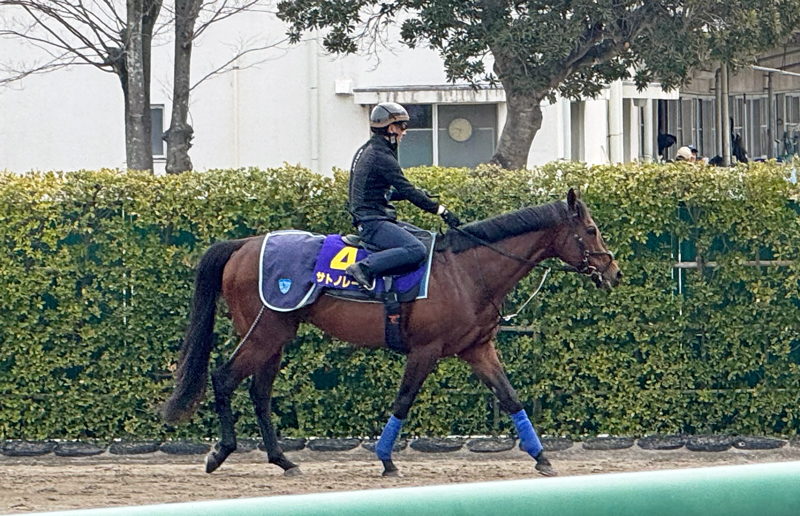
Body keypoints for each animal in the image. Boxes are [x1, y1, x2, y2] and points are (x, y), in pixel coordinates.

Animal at [162, 188, 621, 478]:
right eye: (592, 230)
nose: (614, 272)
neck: (467, 269)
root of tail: (243, 245)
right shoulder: (425, 350)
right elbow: (403, 400)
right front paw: (385, 459)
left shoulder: (478, 349)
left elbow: (510, 398)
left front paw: (542, 457)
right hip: (263, 335)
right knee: (224, 378)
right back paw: (221, 452)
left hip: (276, 336)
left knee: (259, 393)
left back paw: (283, 460)